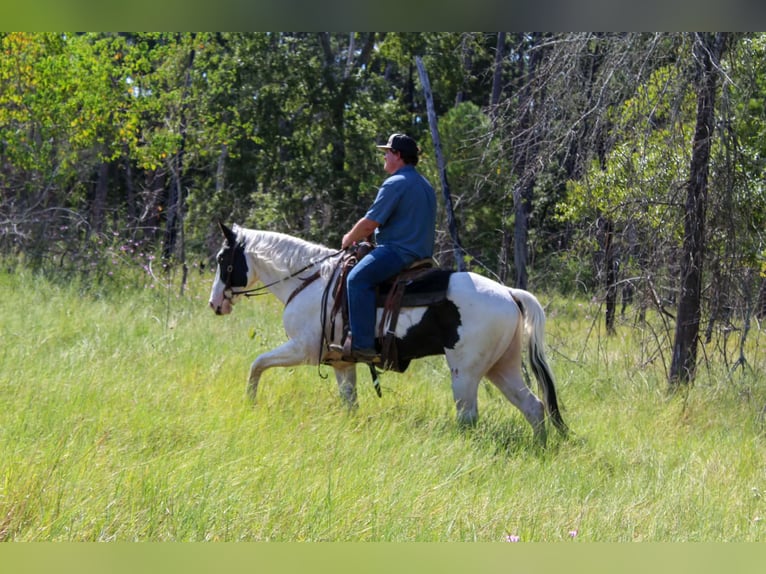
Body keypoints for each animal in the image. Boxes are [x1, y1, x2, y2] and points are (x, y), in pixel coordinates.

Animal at [208, 223, 568, 446]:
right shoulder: (342, 363)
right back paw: (540, 447)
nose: (215, 303)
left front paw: (250, 402)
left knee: (469, 416)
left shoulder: (303, 349)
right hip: (501, 368)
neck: (309, 280)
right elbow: (349, 403)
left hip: (466, 372)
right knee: (534, 407)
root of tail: (508, 293)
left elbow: (257, 363)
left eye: (224, 259)